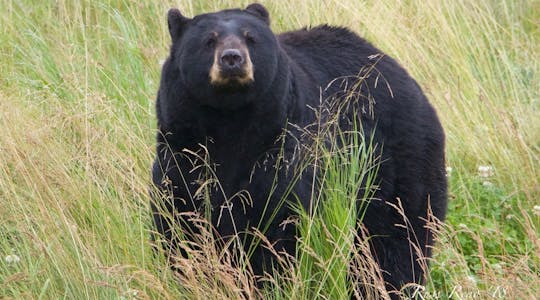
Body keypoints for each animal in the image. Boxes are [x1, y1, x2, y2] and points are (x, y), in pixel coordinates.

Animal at [152, 2, 448, 296]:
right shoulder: (181, 152)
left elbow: (278, 223)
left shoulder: (281, 151)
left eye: (251, 38)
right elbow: (181, 220)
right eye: (209, 40)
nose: (232, 58)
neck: (230, 122)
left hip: (397, 165)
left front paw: (267, 279)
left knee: (397, 236)